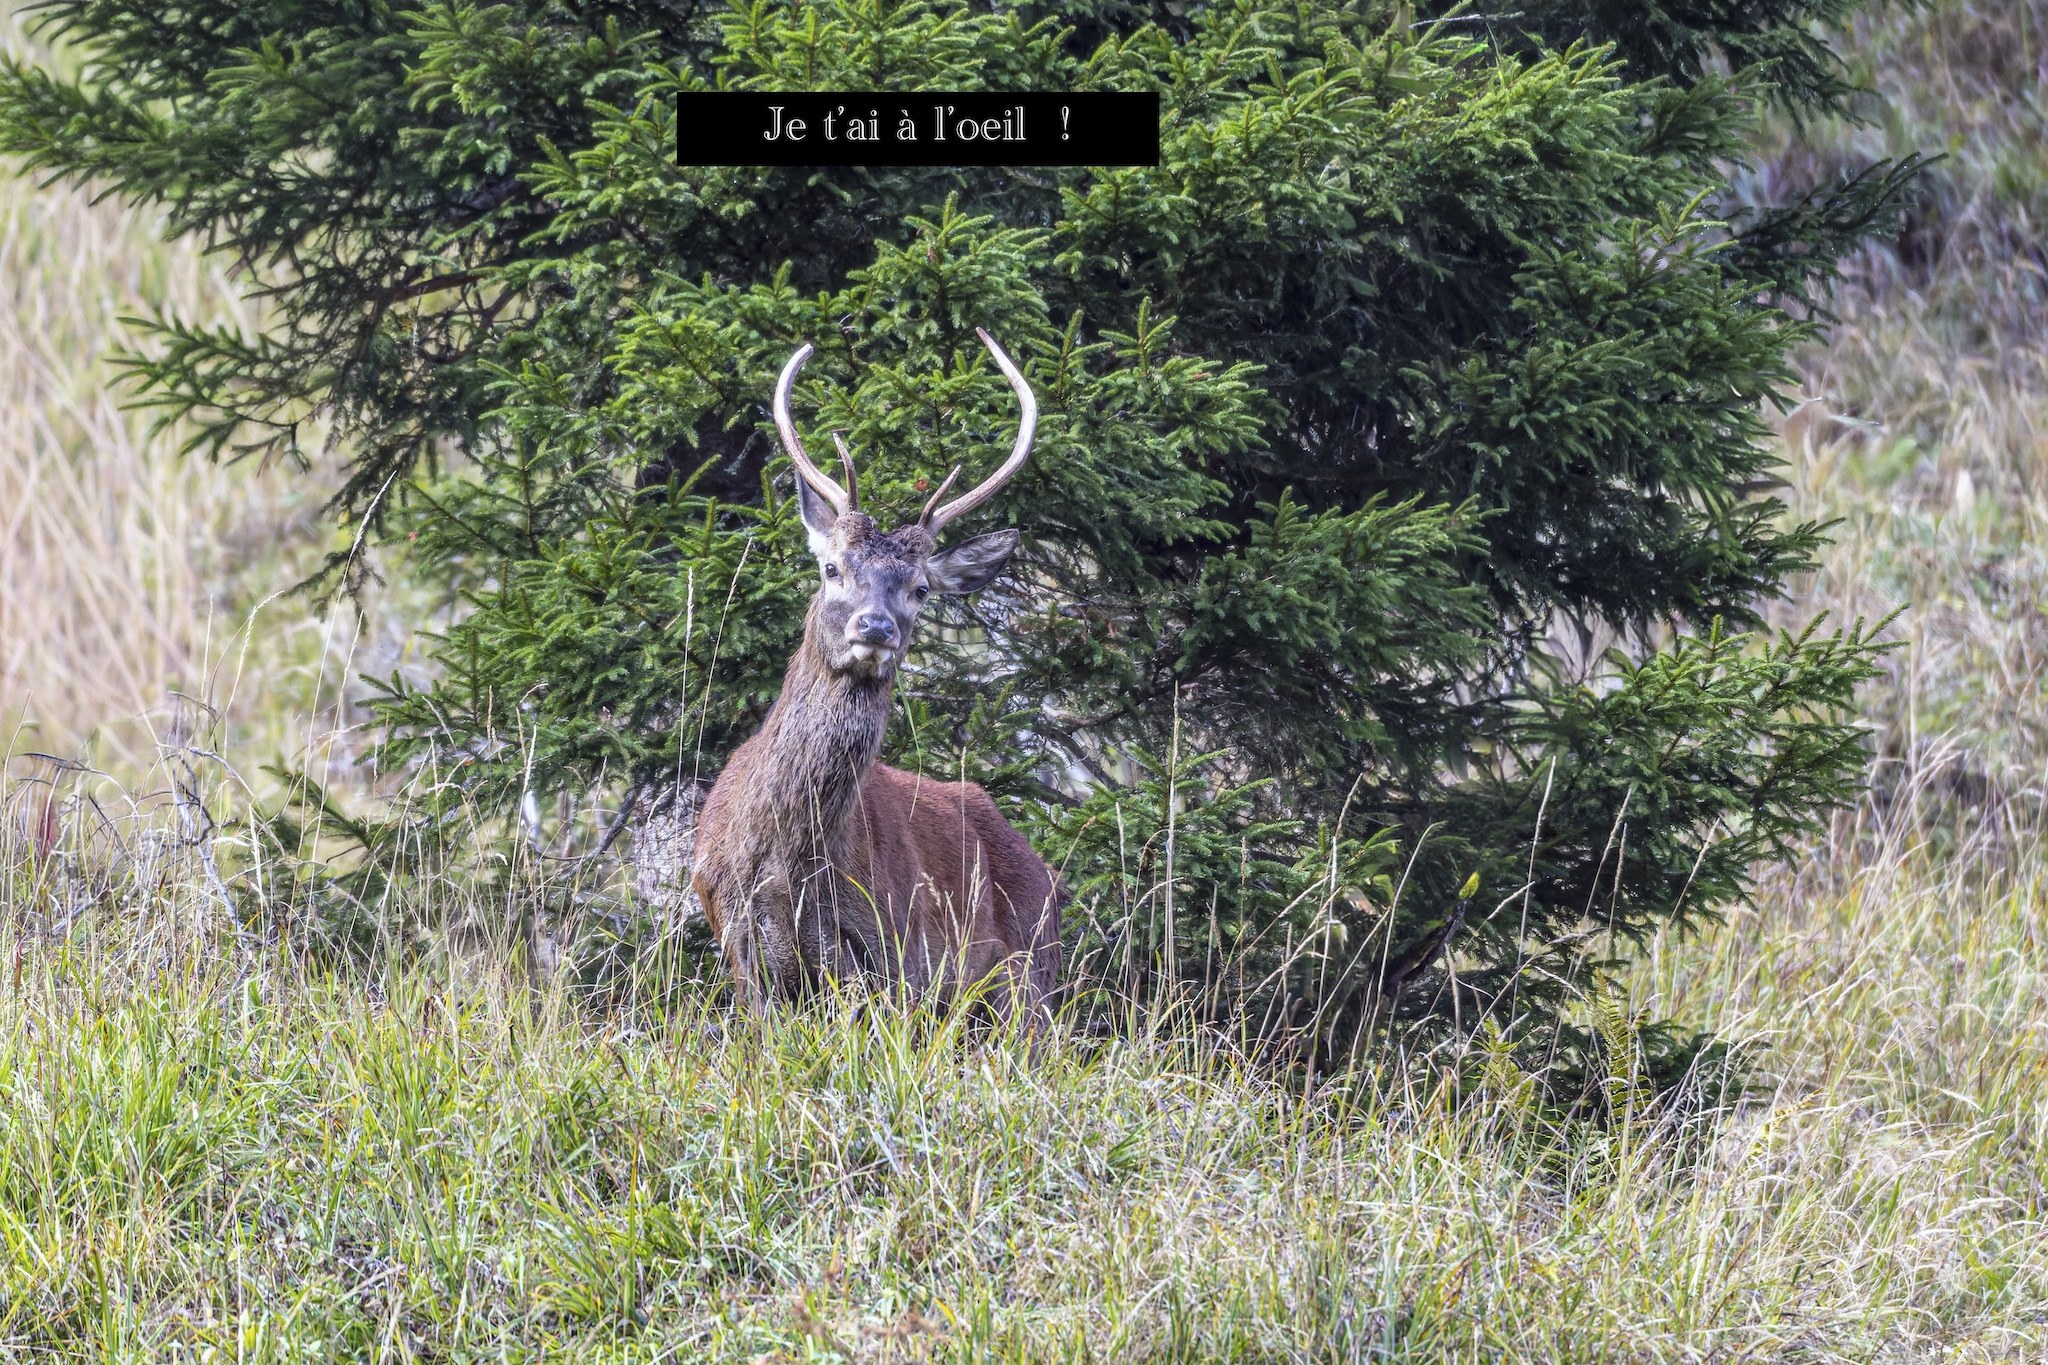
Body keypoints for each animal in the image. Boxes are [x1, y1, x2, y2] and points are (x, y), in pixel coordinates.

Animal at [689, 329, 1062, 1032]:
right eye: (832, 567)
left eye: (920, 590)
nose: (877, 626)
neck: (790, 861)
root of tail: (1049, 874)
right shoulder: (739, 941)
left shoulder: (891, 952)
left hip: (1028, 976)